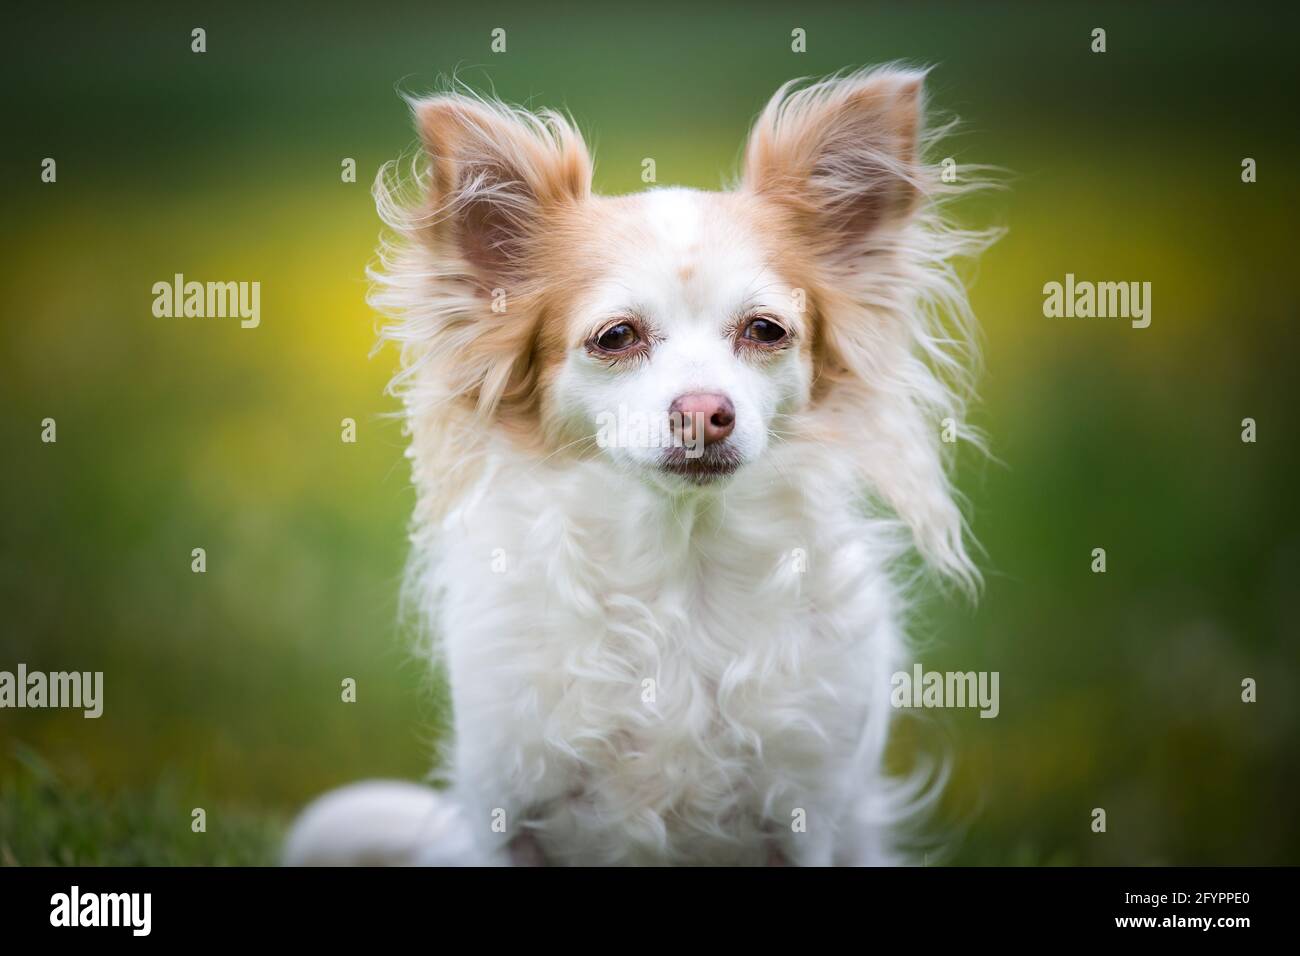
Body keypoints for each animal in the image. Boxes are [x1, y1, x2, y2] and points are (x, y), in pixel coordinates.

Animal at [287, 65, 993, 868]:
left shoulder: (804, 819)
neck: (677, 571)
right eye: (615, 337)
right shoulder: (506, 814)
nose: (705, 410)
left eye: (766, 331)